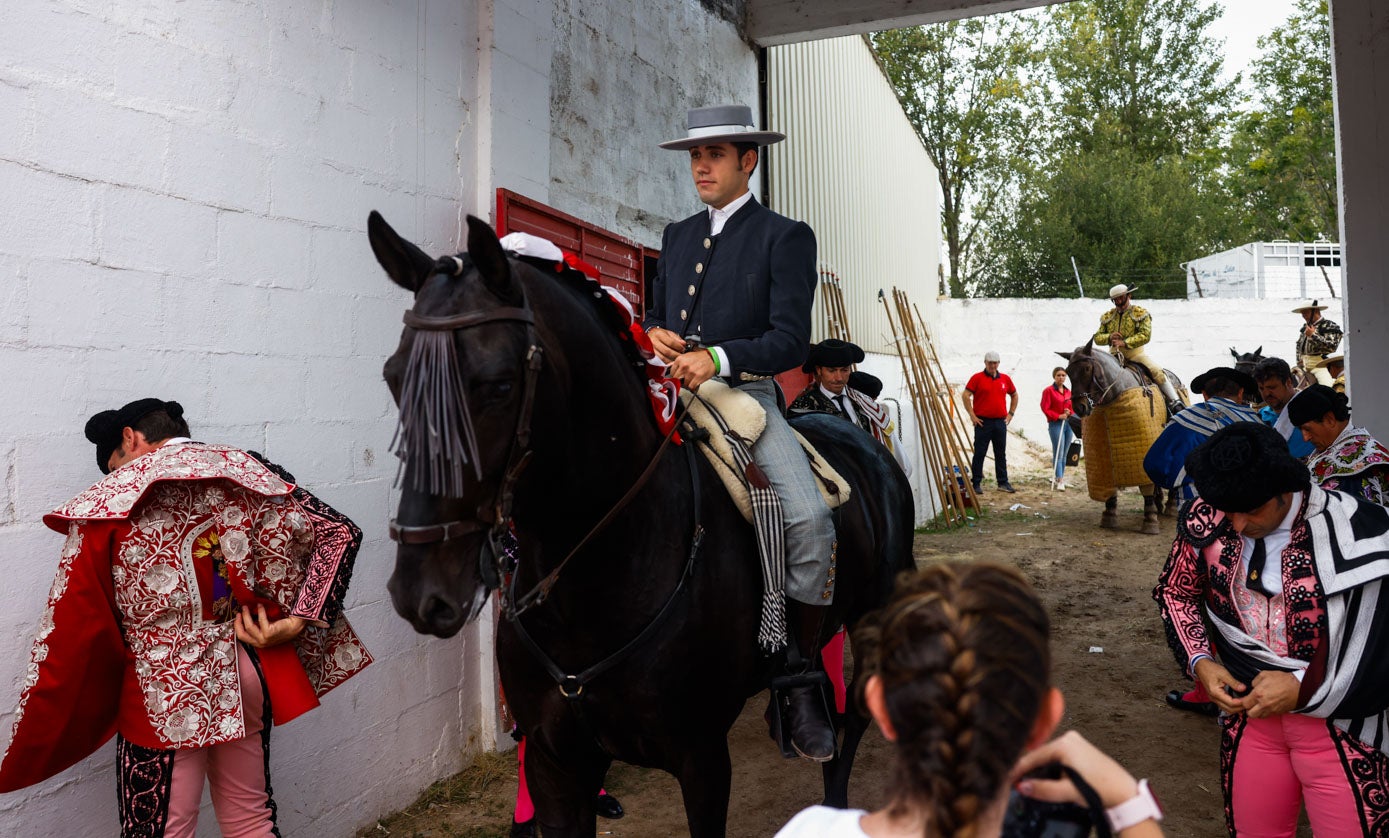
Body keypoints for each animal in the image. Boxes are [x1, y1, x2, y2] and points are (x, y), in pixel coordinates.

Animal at [363, 211, 916, 838]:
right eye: (394, 376)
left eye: (499, 385)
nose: (422, 592)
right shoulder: (557, 763)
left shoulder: (702, 758)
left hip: (873, 624)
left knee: (853, 724)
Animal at [1061, 344, 1183, 533]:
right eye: (1067, 371)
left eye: (1087, 368)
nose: (1079, 407)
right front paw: (1109, 515)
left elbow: (1146, 486)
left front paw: (1150, 520)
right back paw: (1160, 503)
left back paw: (1170, 506)